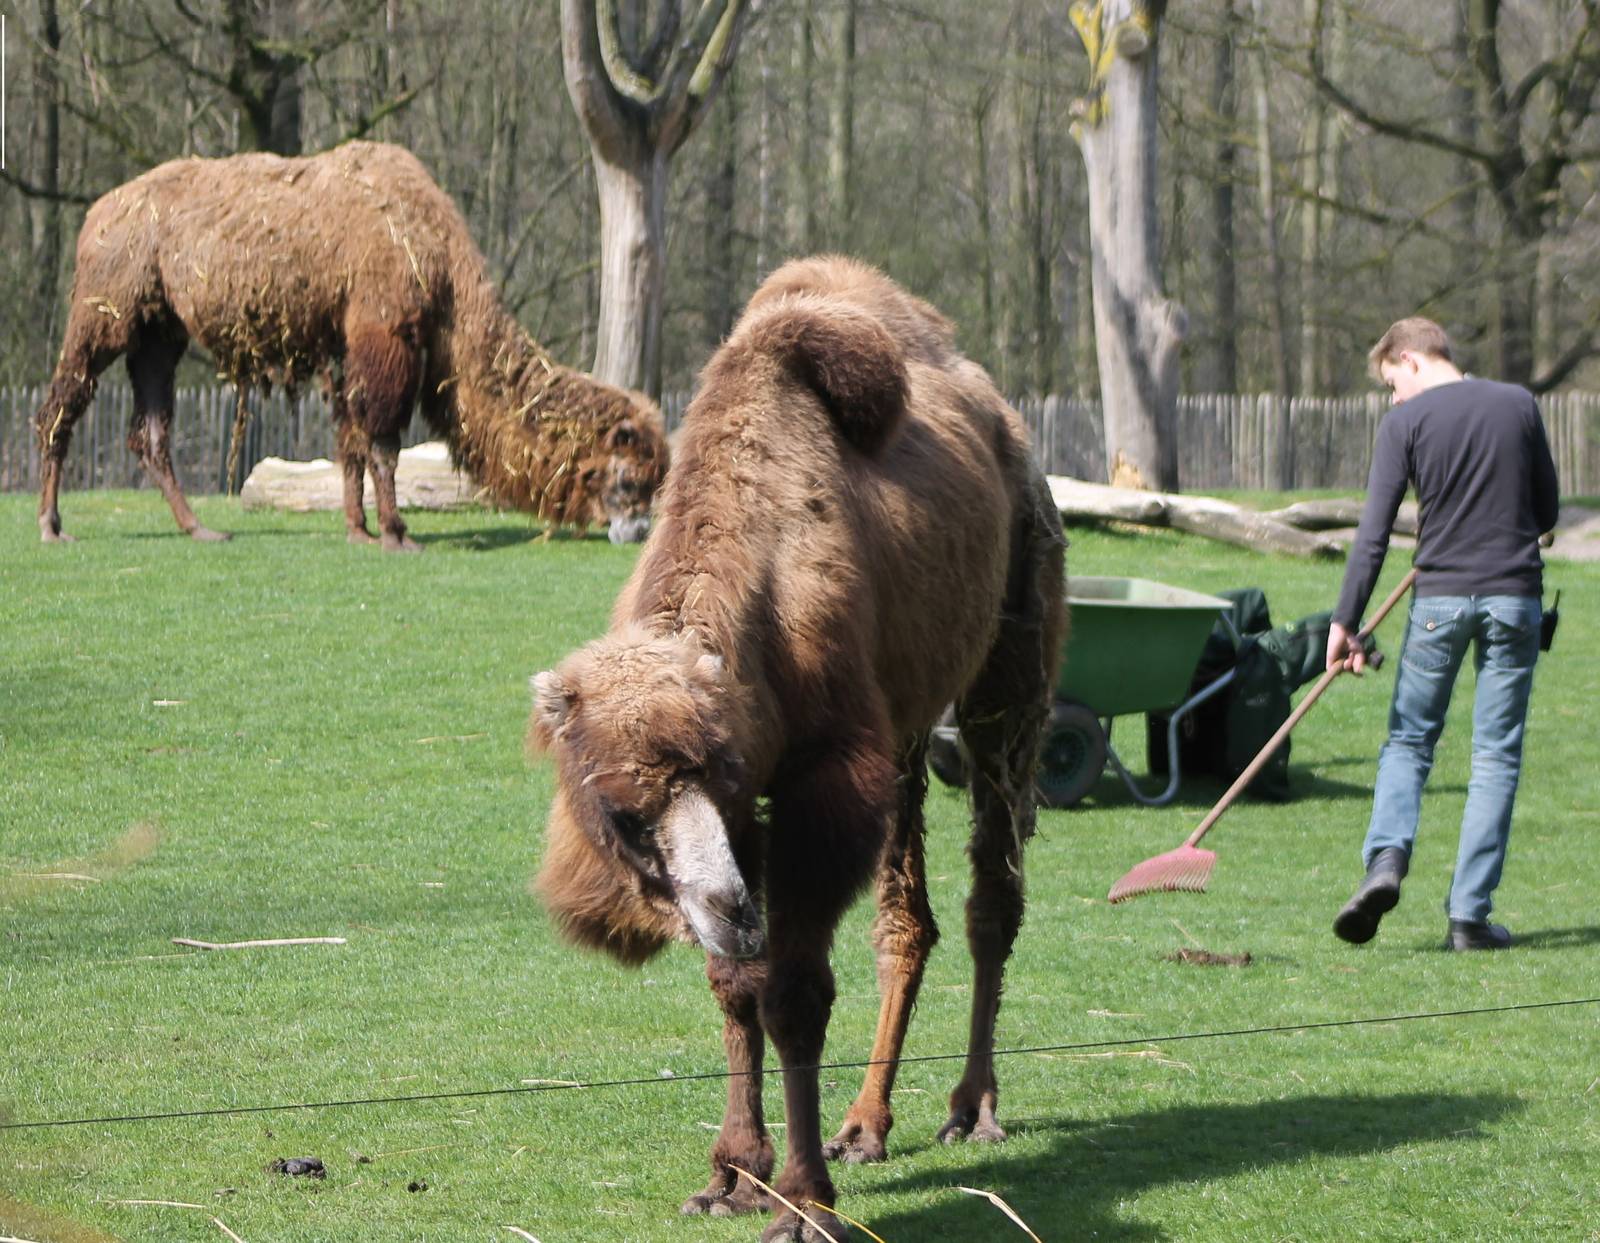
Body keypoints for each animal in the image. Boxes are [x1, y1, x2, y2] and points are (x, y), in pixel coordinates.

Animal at [33, 141, 666, 550]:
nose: (637, 532)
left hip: (159, 330)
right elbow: (382, 439)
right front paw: (396, 535)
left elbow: (351, 439)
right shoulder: (384, 334)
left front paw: (358, 528)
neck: (442, 265)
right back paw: (52, 526)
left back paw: (201, 528)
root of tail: (96, 215)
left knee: (151, 430)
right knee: (62, 404)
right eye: (629, 479)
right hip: (105, 309)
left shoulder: (347, 344)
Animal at [531, 256, 1067, 1242]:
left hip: (1012, 655)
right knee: (906, 915)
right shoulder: (752, 806)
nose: (731, 905)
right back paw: (867, 1123)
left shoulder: (818, 776)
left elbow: (795, 991)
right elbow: (736, 982)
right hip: (905, 730)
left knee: (992, 889)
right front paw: (735, 1173)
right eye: (624, 813)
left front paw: (805, 1202)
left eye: (707, 772)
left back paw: (972, 1106)